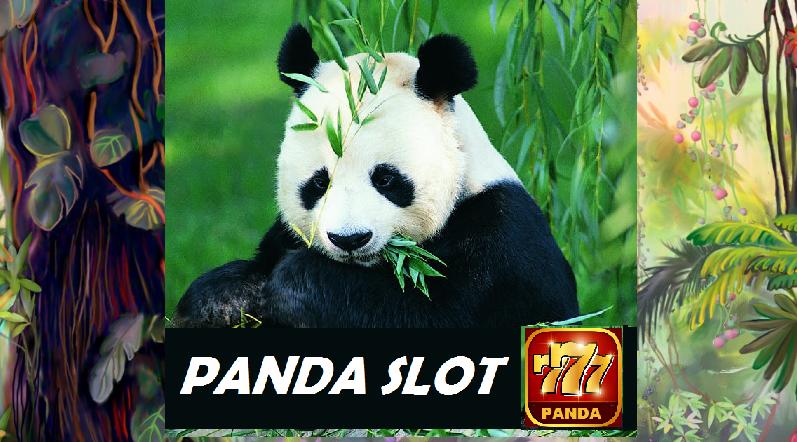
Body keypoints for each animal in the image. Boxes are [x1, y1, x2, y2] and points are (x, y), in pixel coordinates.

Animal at [172, 25, 579, 328]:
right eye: (319, 183)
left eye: (385, 179)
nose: (349, 239)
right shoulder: (283, 234)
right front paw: (225, 300)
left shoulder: (500, 240)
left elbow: (431, 315)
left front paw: (295, 284)